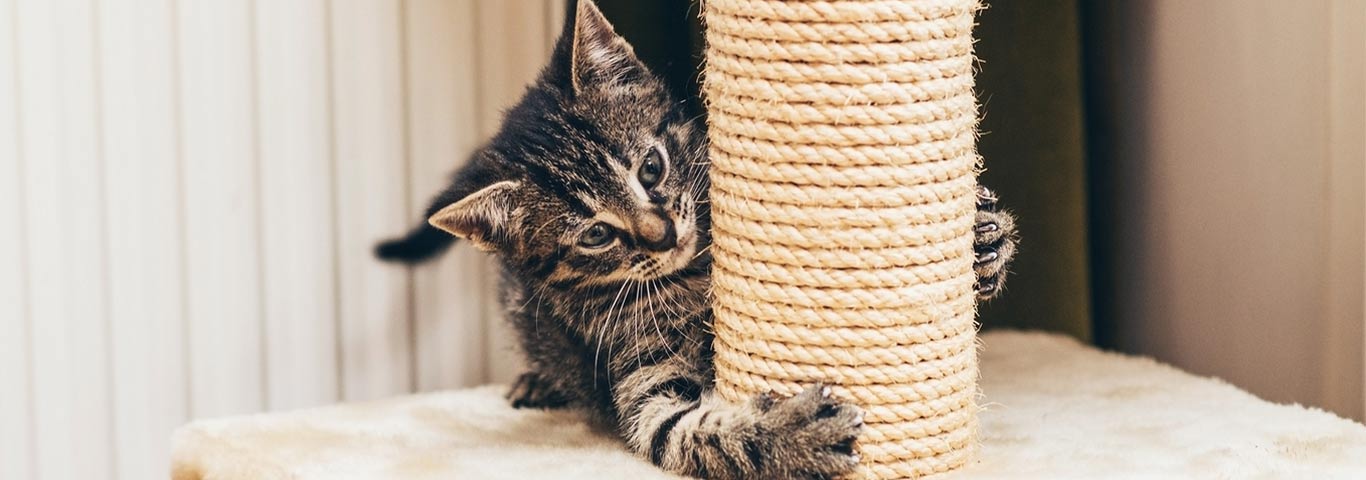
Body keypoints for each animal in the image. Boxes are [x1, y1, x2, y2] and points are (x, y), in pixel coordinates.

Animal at [374, 1, 1016, 478]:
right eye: (597, 234)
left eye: (651, 168)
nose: (661, 235)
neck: (695, 270)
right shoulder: (641, 377)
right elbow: (691, 434)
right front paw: (793, 436)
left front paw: (983, 243)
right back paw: (537, 380)